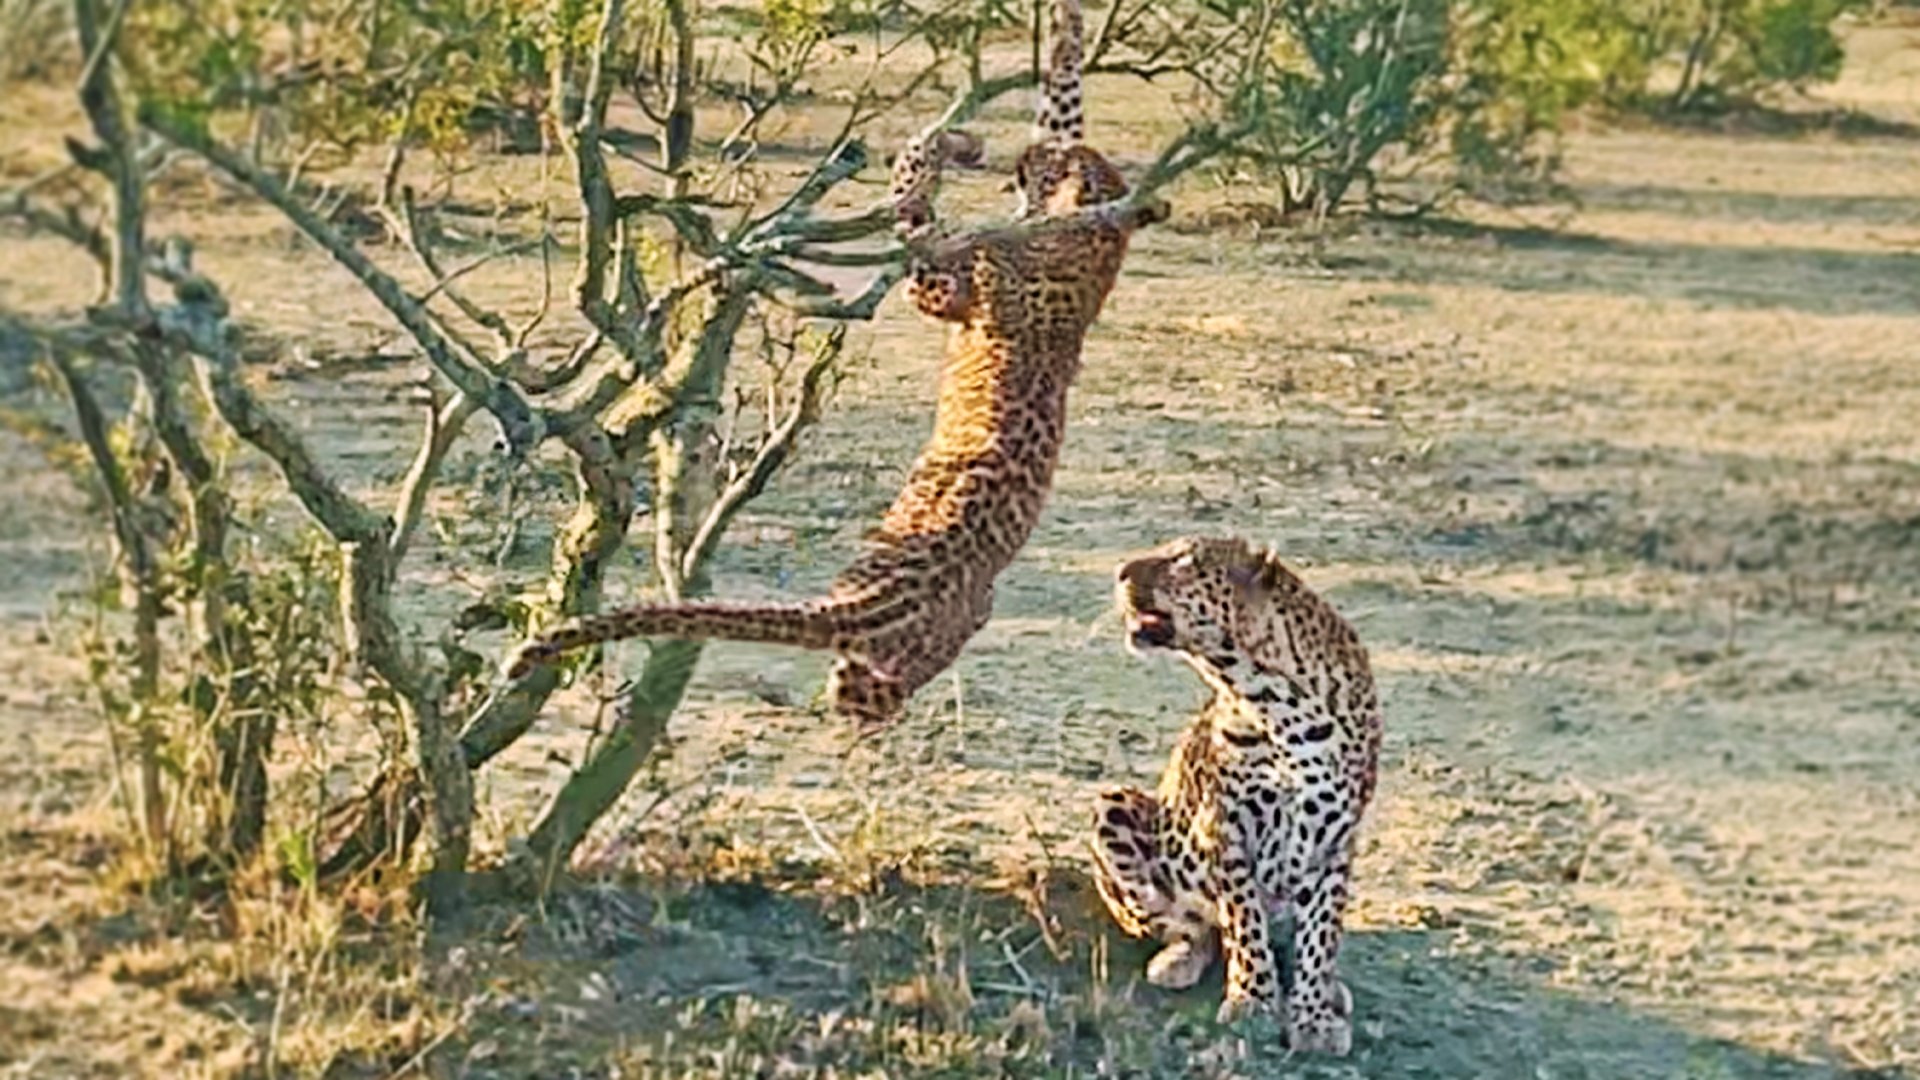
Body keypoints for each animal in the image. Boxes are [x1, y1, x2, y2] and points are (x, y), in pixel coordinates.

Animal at [505, 0, 1169, 730]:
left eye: (1058, 169)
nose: (1026, 160)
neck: (1089, 240)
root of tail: (857, 607)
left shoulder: (949, 289)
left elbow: (920, 218)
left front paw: (936, 158)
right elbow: (1062, 84)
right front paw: (1046, 52)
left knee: (863, 694)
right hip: (926, 628)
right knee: (871, 684)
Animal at [1090, 535, 1383, 1055]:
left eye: (1183, 560)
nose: (1120, 571)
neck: (1273, 699)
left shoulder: (1336, 836)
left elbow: (1321, 931)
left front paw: (1312, 1015)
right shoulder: (1225, 825)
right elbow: (1244, 921)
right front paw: (1253, 1000)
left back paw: (1331, 988)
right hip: (1115, 810)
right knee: (1196, 928)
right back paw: (1179, 960)